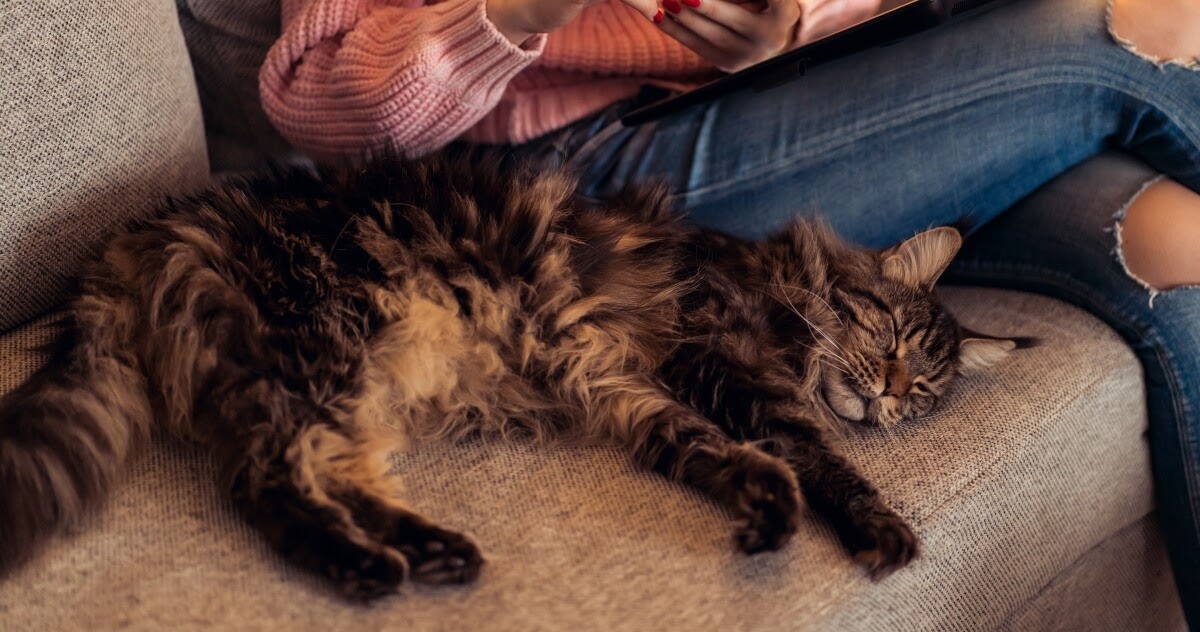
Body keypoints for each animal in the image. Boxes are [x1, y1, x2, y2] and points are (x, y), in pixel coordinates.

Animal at [0, 153, 1022, 599]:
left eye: (926, 392)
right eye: (891, 334)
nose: (887, 395)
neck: (776, 287)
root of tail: (140, 235)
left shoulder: (624, 386)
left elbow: (716, 456)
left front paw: (764, 514)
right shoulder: (708, 355)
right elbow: (816, 456)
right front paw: (878, 528)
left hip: (353, 379)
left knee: (325, 472)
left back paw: (432, 551)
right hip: (332, 342)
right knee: (265, 481)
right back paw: (365, 570)